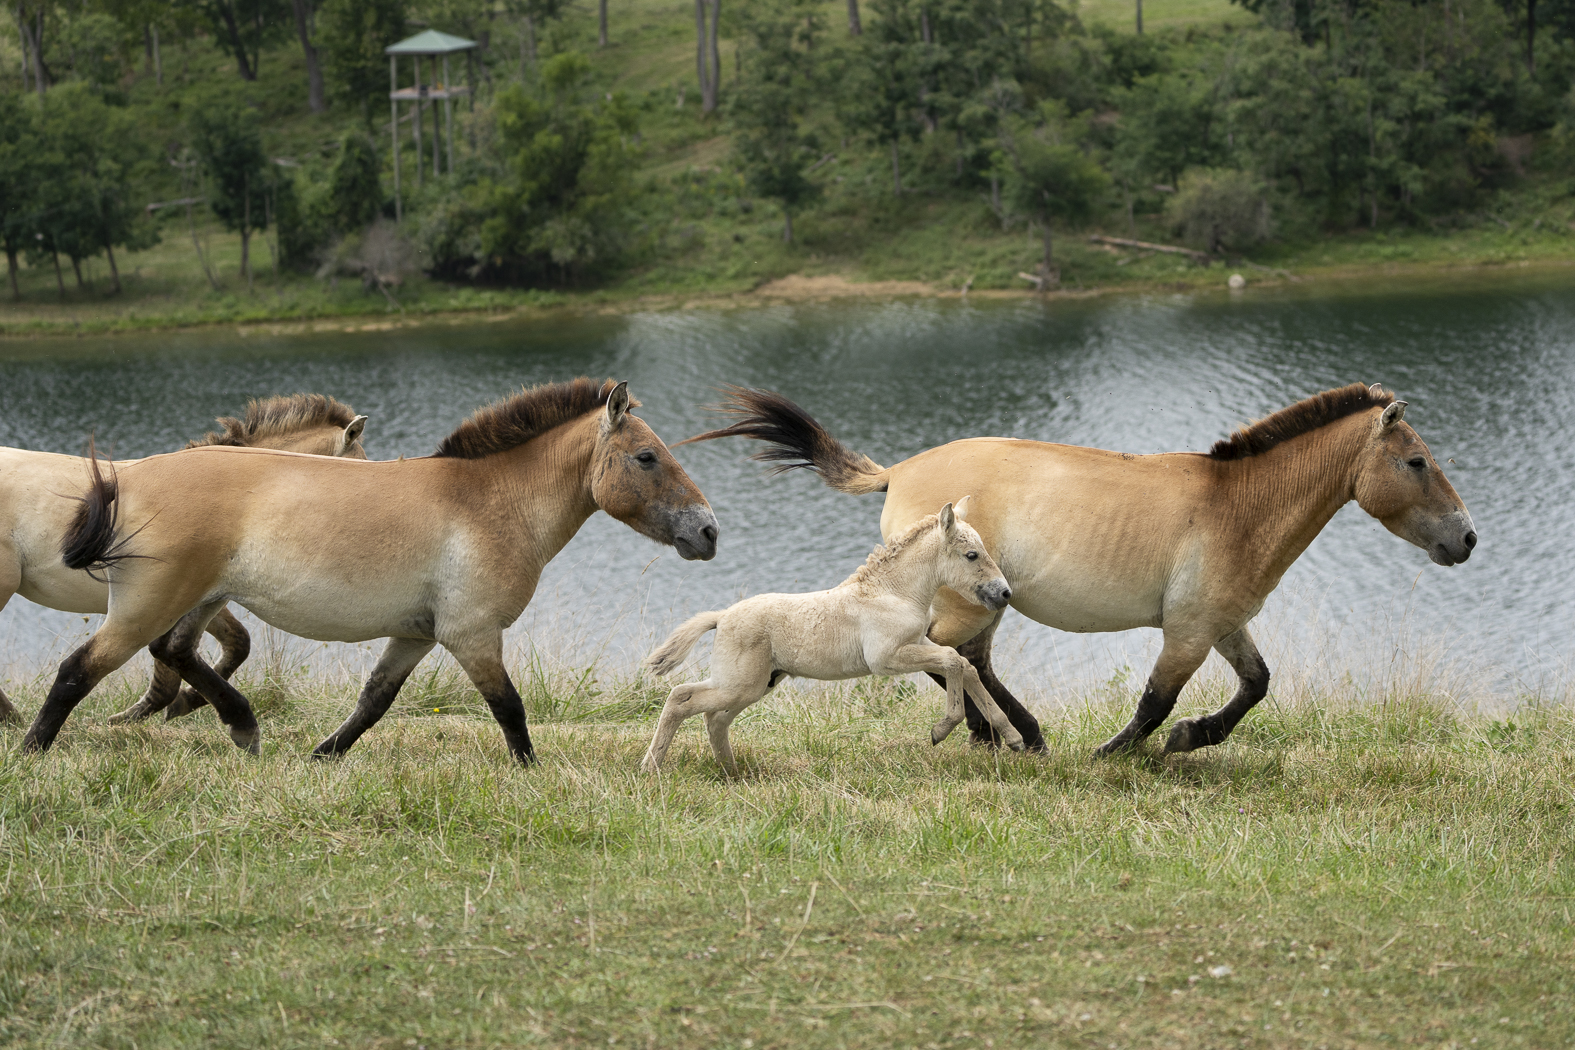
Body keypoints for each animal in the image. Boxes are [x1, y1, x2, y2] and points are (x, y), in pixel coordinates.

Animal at [640, 502, 1023, 774]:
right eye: (971, 555)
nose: (1003, 593)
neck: (893, 592)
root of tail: (722, 617)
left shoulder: (919, 642)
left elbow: (963, 666)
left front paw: (1014, 738)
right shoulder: (886, 659)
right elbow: (952, 661)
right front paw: (941, 730)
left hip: (752, 684)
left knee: (713, 717)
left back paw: (731, 772)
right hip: (740, 683)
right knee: (681, 699)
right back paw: (651, 767)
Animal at [679, 383, 1477, 756]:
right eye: (1416, 462)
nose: (1466, 539)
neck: (1235, 507)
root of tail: (899, 471)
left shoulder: (1221, 623)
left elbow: (1256, 685)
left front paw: (1194, 738)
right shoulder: (1188, 631)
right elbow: (1155, 700)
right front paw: (1121, 751)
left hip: (986, 601)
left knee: (964, 662)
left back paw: (1011, 733)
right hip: (969, 601)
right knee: (947, 658)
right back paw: (1011, 733)